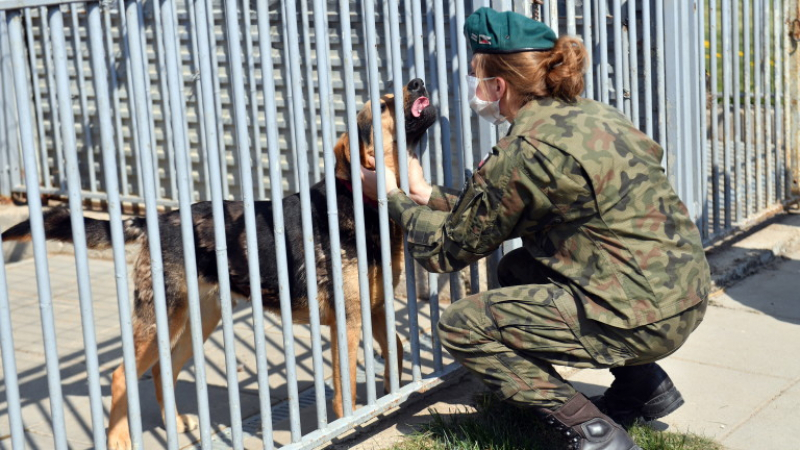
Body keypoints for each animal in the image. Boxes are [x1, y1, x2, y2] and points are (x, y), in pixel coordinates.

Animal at [1, 79, 438, 448]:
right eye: (382, 105)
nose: (418, 82)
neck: (360, 203)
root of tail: (158, 219)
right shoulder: (347, 322)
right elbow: (345, 390)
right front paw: (349, 422)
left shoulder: (376, 309)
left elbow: (397, 350)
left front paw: (391, 394)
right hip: (162, 318)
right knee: (121, 373)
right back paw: (120, 440)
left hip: (197, 319)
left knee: (161, 369)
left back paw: (176, 424)